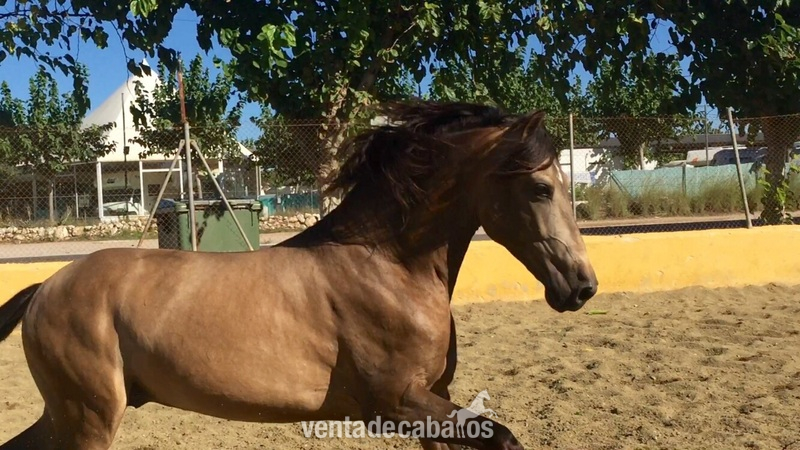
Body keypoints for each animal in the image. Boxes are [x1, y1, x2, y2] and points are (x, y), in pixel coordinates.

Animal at [0, 100, 598, 450]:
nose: (582, 285)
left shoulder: (432, 400)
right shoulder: (395, 402)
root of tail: (44, 289)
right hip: (89, 417)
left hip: (68, 415)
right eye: (540, 187)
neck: (387, 267)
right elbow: (505, 438)